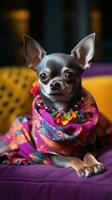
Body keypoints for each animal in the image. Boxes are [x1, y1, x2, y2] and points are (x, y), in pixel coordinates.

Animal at [0, 33, 112, 178]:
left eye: (68, 74)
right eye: (43, 76)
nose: (54, 84)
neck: (62, 110)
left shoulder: (91, 147)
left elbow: (87, 155)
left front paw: (93, 165)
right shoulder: (53, 156)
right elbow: (73, 158)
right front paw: (83, 167)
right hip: (7, 144)